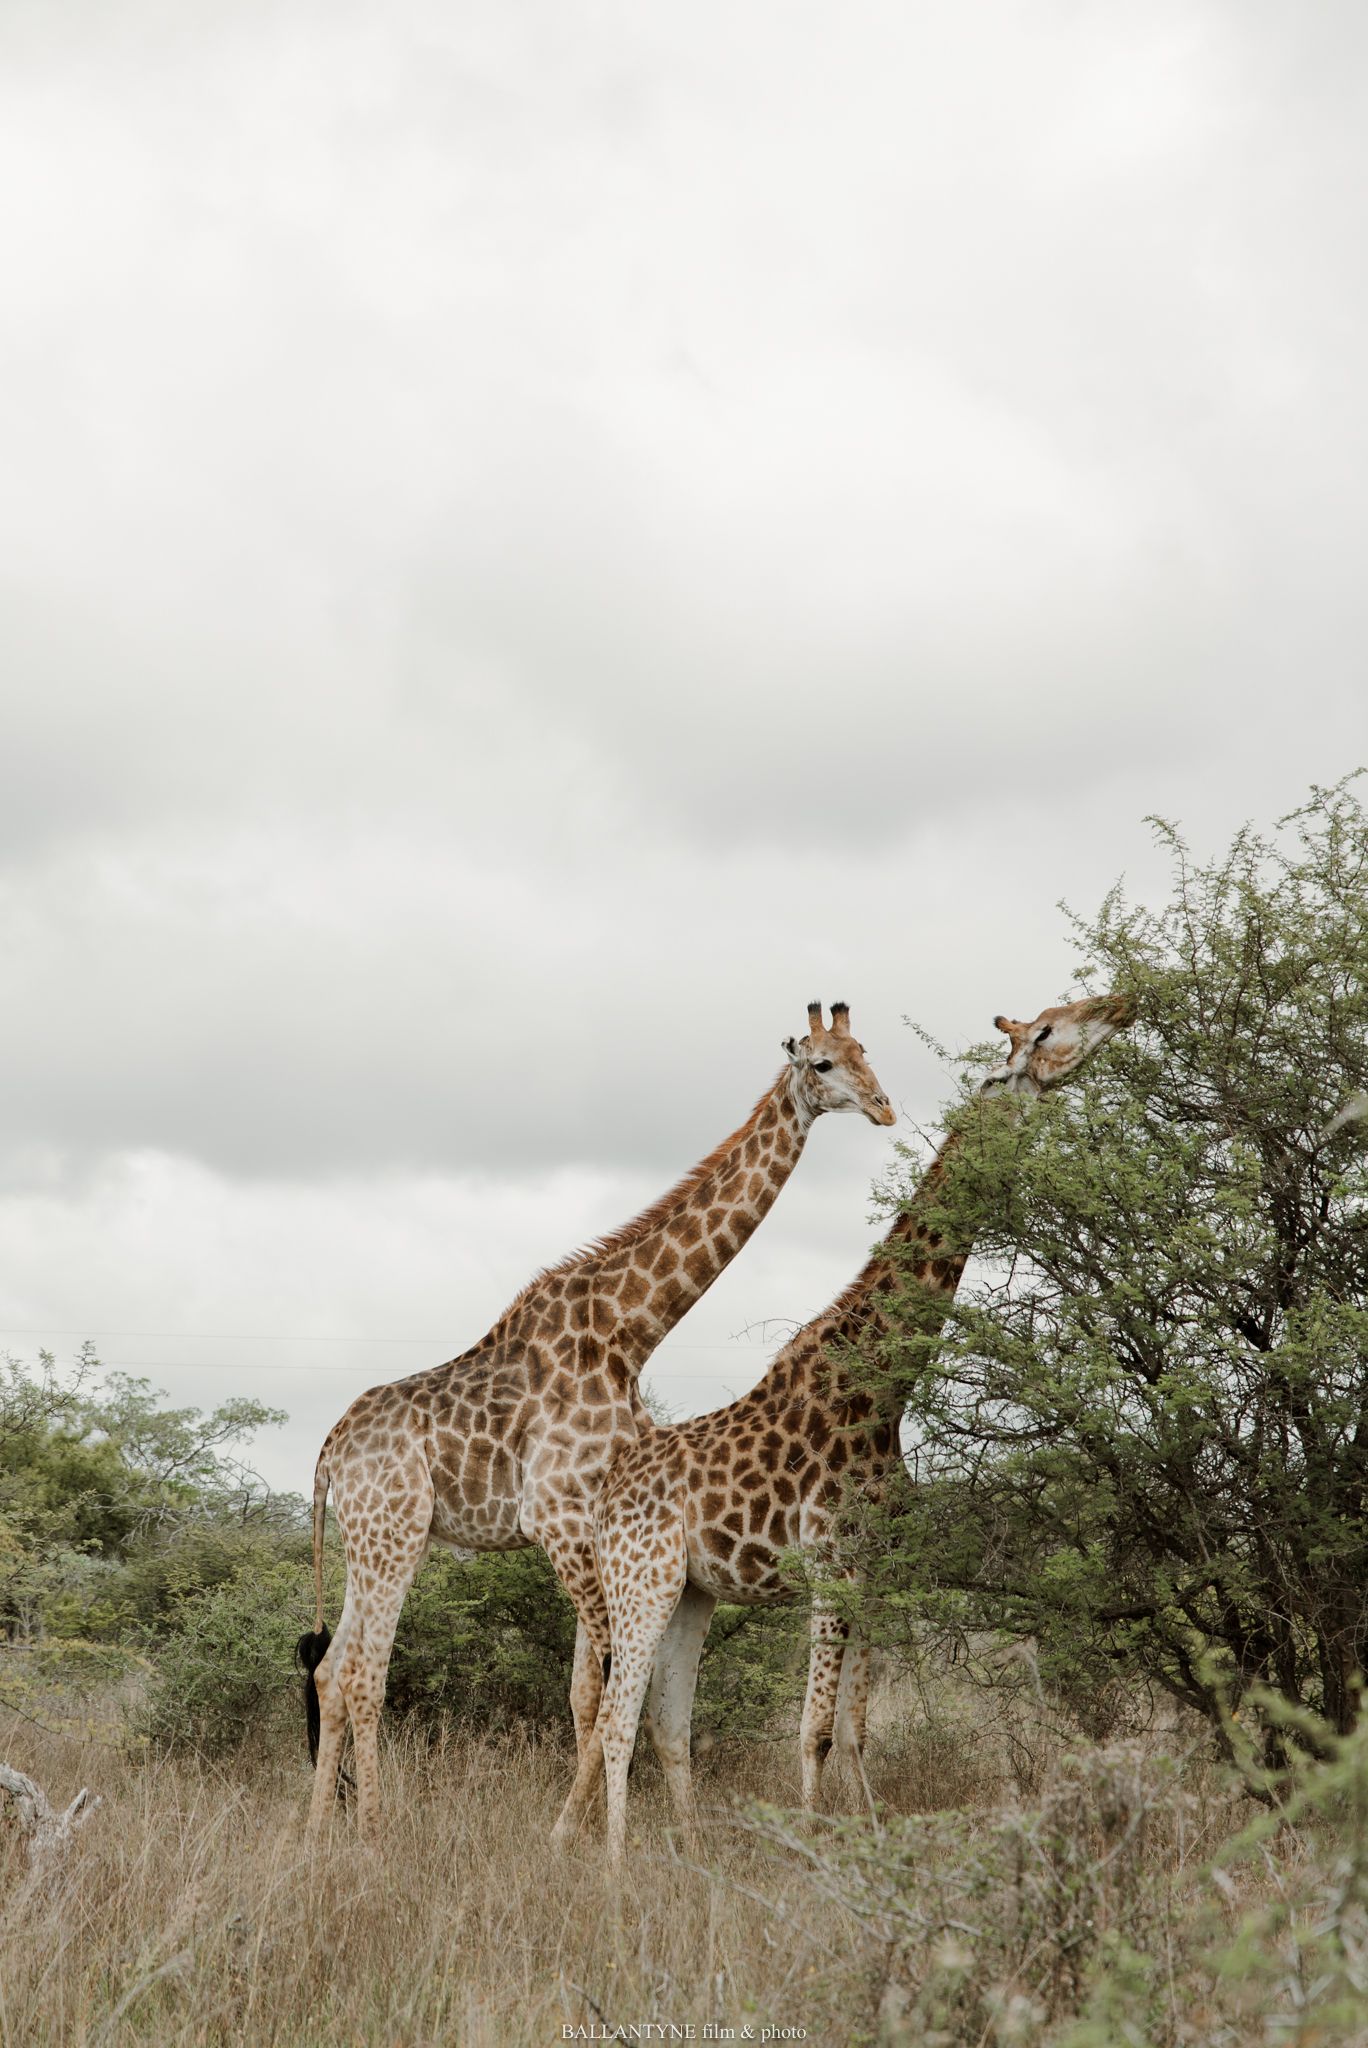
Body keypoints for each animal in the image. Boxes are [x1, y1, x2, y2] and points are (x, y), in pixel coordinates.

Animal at [296, 1002, 895, 1841]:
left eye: (866, 1051)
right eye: (821, 1064)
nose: (883, 1107)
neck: (627, 1330)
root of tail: (327, 1454)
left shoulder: (590, 1524)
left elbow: (585, 1695)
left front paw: (580, 1834)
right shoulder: (560, 1522)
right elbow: (606, 1692)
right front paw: (589, 1834)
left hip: (367, 1540)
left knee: (327, 1669)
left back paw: (318, 1831)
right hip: (395, 1535)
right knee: (362, 1674)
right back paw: (376, 1833)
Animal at [550, 993, 1136, 1868]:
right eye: (1050, 1029)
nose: (1123, 1004)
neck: (882, 1389)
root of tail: (609, 1486)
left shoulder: (878, 1573)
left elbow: (857, 1731)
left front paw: (871, 1838)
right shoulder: (829, 1566)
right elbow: (815, 1731)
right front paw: (811, 1851)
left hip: (690, 1592)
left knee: (663, 1723)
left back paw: (684, 1851)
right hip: (638, 1580)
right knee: (614, 1718)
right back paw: (615, 1867)